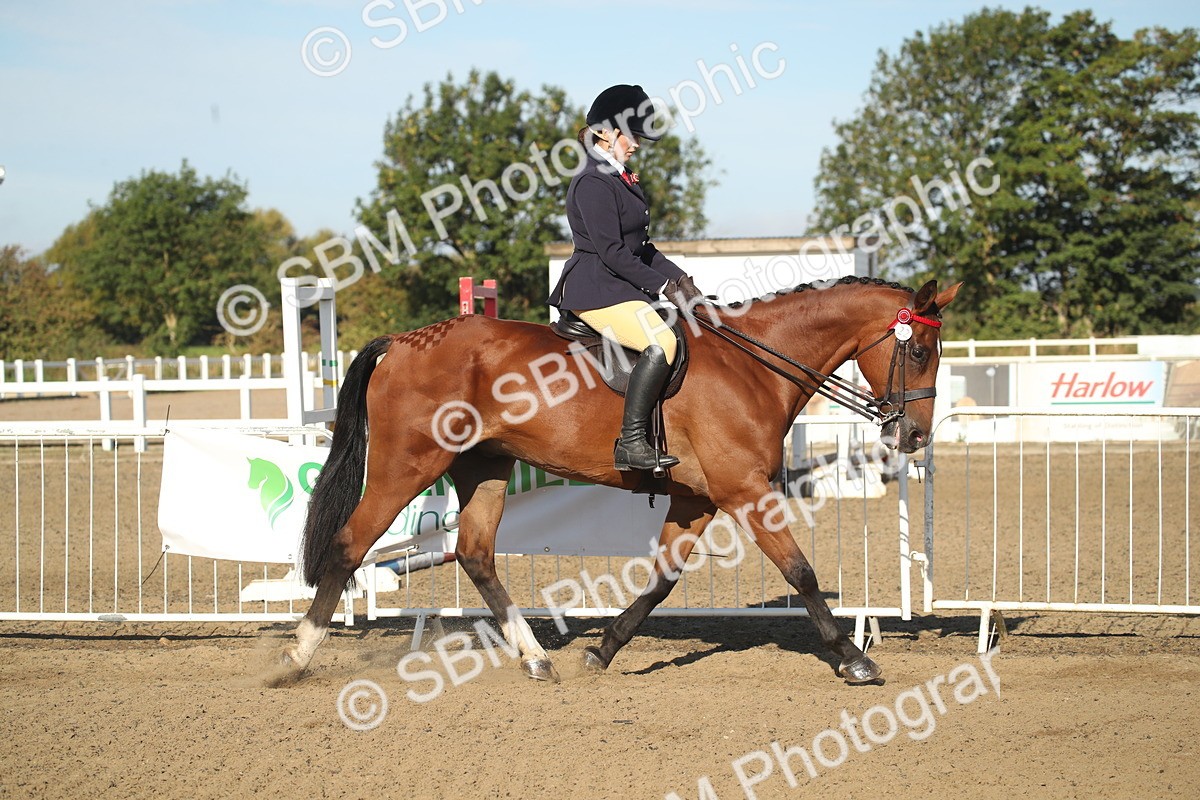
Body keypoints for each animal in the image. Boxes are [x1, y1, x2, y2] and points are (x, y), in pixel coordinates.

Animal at [280, 276, 961, 685]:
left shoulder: (696, 500)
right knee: (349, 545)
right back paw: (296, 656)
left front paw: (601, 650)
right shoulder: (745, 492)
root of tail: (404, 342)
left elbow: (660, 582)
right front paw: (853, 659)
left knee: (474, 554)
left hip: (485, 467)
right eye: (919, 352)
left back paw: (536, 659)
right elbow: (801, 572)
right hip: (406, 467)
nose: (914, 436)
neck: (753, 367)